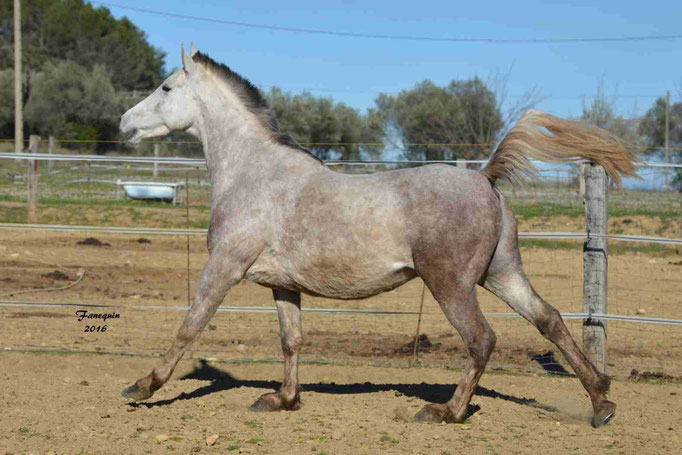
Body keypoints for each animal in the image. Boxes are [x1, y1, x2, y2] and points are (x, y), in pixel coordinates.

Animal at [119, 45, 636, 428]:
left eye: (166, 87)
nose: (124, 122)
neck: (252, 174)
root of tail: (484, 177)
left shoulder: (224, 266)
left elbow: (190, 326)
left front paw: (142, 386)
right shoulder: (283, 285)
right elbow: (292, 340)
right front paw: (282, 400)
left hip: (451, 283)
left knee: (482, 339)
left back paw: (445, 411)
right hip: (501, 273)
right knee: (549, 320)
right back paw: (602, 402)